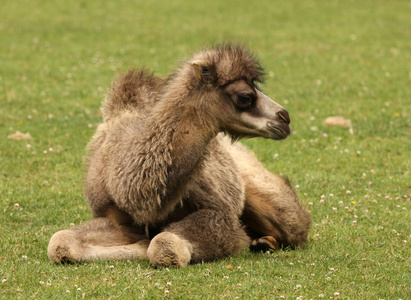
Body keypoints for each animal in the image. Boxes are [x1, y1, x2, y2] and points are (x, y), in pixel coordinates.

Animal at [48, 44, 310, 268]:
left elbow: (165, 244)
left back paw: (265, 242)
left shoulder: (221, 215)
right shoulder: (114, 216)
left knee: (295, 228)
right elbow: (61, 241)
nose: (284, 118)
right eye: (245, 96)